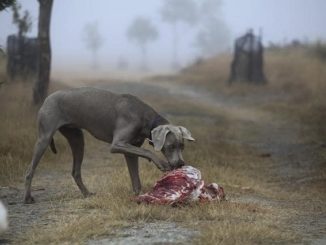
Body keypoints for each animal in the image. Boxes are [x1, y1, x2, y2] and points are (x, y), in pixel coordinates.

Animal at [24, 87, 196, 204]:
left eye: (182, 146)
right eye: (171, 146)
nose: (181, 164)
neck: (146, 118)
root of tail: (47, 98)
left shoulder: (130, 149)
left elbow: (135, 176)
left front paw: (139, 195)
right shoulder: (118, 144)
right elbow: (147, 152)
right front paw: (161, 163)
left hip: (77, 138)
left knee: (75, 171)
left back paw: (87, 194)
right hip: (44, 137)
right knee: (29, 170)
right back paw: (28, 198)